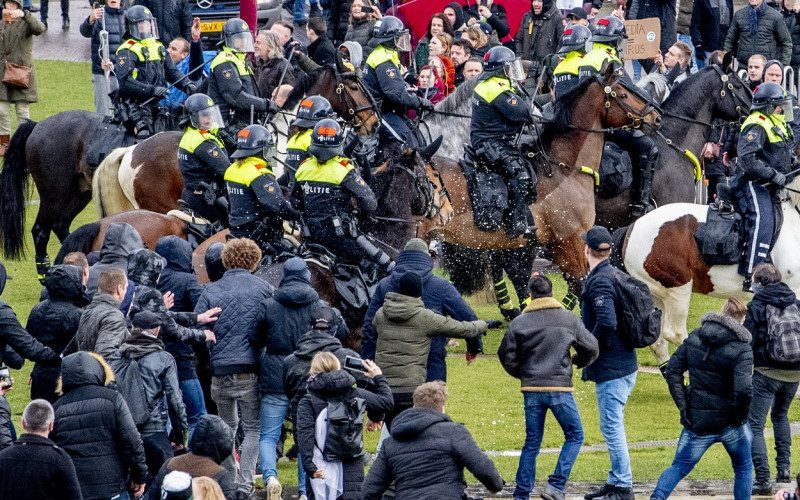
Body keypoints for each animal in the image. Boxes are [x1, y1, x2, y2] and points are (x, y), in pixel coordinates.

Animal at [428, 64, 660, 306]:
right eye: (623, 95)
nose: (656, 116)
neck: (564, 169)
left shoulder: (533, 246)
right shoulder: (569, 243)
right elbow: (579, 286)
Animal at [620, 177, 800, 364]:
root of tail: (632, 228)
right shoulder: (794, 290)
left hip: (658, 296)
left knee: (658, 343)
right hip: (677, 290)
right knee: (676, 334)